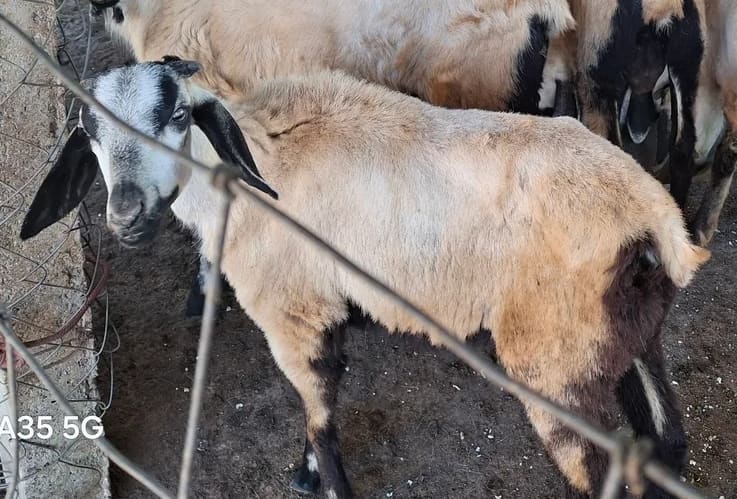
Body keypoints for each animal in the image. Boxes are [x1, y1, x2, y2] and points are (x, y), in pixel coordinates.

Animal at [21, 60, 709, 498]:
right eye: (88, 132)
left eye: (178, 115)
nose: (126, 214)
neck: (251, 167)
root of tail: (656, 224)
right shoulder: (324, 301)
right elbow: (322, 393)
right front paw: (307, 472)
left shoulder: (291, 308)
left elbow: (318, 405)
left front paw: (323, 479)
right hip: (627, 339)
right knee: (668, 440)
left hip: (555, 358)